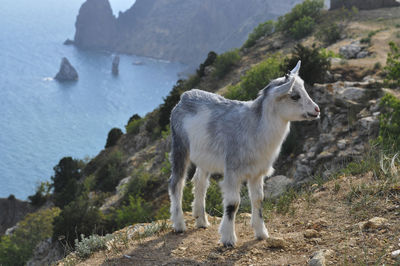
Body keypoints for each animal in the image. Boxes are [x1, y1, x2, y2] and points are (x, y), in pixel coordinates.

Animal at [167, 61, 320, 246]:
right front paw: (228, 239)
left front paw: (261, 233)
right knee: (176, 183)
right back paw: (179, 224)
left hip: (205, 157)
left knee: (200, 181)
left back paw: (201, 220)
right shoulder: (233, 170)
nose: (316, 110)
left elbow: (258, 199)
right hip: (179, 145)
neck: (254, 127)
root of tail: (184, 97)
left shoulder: (257, 172)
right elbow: (233, 203)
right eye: (295, 96)